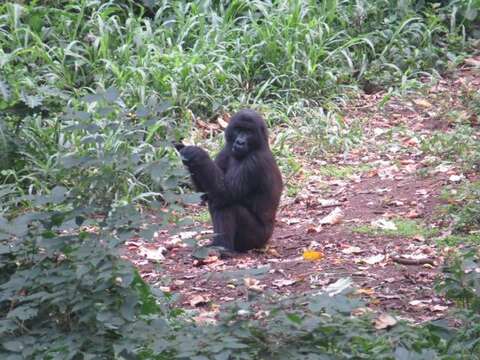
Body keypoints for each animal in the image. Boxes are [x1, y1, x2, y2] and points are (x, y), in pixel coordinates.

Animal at [176, 109, 282, 253]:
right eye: (238, 129)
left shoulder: (254, 162)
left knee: (226, 205)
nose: (240, 142)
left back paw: (223, 248)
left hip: (259, 239)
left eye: (249, 132)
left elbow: (225, 193)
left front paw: (197, 154)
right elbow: (204, 193)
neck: (258, 145)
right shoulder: (225, 151)